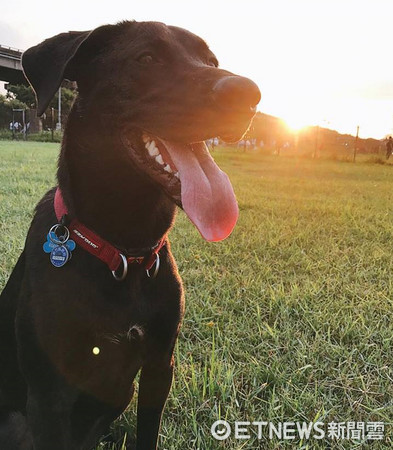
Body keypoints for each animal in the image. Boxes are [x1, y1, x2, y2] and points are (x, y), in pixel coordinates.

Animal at [0, 19, 258, 448]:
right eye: (147, 58)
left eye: (211, 61)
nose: (249, 95)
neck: (124, 250)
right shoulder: (49, 395)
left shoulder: (159, 366)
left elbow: (147, 433)